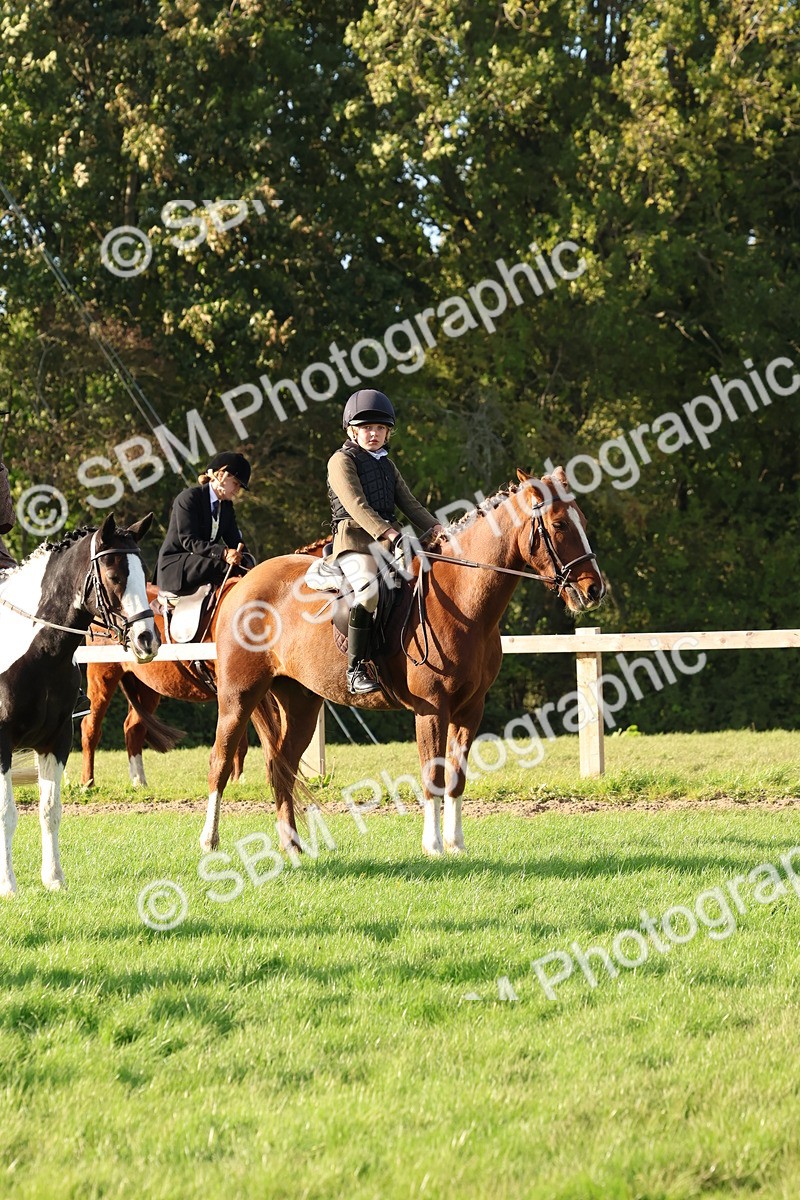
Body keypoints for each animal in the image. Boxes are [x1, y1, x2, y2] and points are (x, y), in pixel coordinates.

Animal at [0, 514, 159, 895]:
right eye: (115, 576)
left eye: (144, 572)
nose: (147, 639)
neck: (39, 653)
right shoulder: (1, 743)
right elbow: (7, 813)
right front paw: (8, 885)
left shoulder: (56, 740)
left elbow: (50, 810)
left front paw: (54, 879)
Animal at [80, 577, 249, 789]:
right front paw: (238, 781)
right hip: (102, 675)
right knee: (90, 727)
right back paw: (87, 783)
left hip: (147, 689)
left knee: (133, 728)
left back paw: (139, 783)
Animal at [200, 468, 605, 857]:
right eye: (559, 524)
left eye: (584, 520)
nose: (594, 590)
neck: (463, 599)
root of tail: (243, 584)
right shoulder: (432, 709)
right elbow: (433, 777)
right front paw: (434, 846)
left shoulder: (470, 709)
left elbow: (456, 778)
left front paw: (456, 844)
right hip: (238, 697)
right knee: (220, 762)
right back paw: (210, 840)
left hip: (300, 702)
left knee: (280, 767)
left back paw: (292, 845)